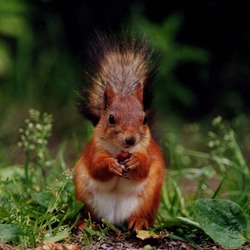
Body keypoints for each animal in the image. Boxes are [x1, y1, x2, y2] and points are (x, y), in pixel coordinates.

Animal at [73, 31, 165, 230]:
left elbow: (145, 167)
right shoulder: (94, 149)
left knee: (145, 215)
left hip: (149, 198)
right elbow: (96, 166)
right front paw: (110, 164)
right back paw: (86, 223)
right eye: (111, 119)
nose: (130, 139)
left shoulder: (147, 149)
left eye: (144, 119)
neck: (120, 150)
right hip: (84, 194)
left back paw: (139, 221)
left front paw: (136, 161)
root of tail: (113, 219)